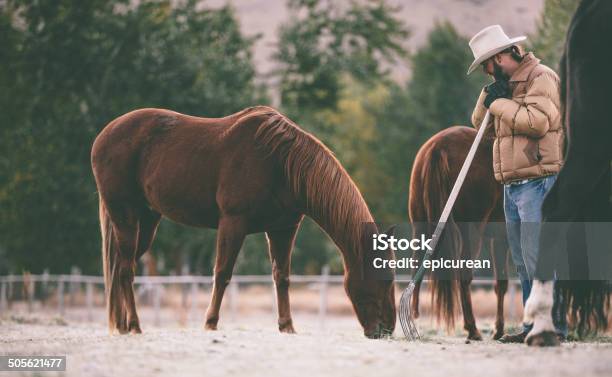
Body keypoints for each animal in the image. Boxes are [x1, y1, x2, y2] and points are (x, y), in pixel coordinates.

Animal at [91, 104, 396, 336]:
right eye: (385, 279)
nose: (387, 330)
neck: (281, 162)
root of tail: (104, 135)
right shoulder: (233, 223)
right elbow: (223, 273)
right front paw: (210, 323)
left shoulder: (283, 229)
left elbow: (281, 276)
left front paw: (287, 326)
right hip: (124, 214)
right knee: (125, 270)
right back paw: (134, 325)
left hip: (146, 220)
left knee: (121, 267)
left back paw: (122, 325)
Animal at [408, 125, 510, 340]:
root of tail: (438, 147)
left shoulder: (499, 237)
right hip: (471, 231)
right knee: (464, 275)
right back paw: (472, 328)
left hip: (419, 224)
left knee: (416, 266)